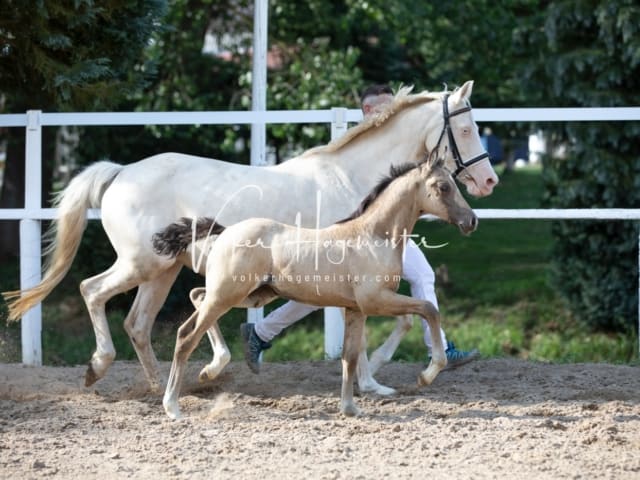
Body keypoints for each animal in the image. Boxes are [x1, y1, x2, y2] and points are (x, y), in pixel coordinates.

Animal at [152, 156, 478, 418]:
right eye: (443, 187)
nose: (472, 221)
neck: (372, 237)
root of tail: (226, 231)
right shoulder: (375, 300)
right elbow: (429, 309)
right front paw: (427, 374)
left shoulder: (356, 309)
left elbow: (349, 356)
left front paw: (350, 408)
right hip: (228, 294)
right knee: (187, 336)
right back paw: (173, 406)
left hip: (248, 295)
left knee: (195, 299)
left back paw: (209, 371)